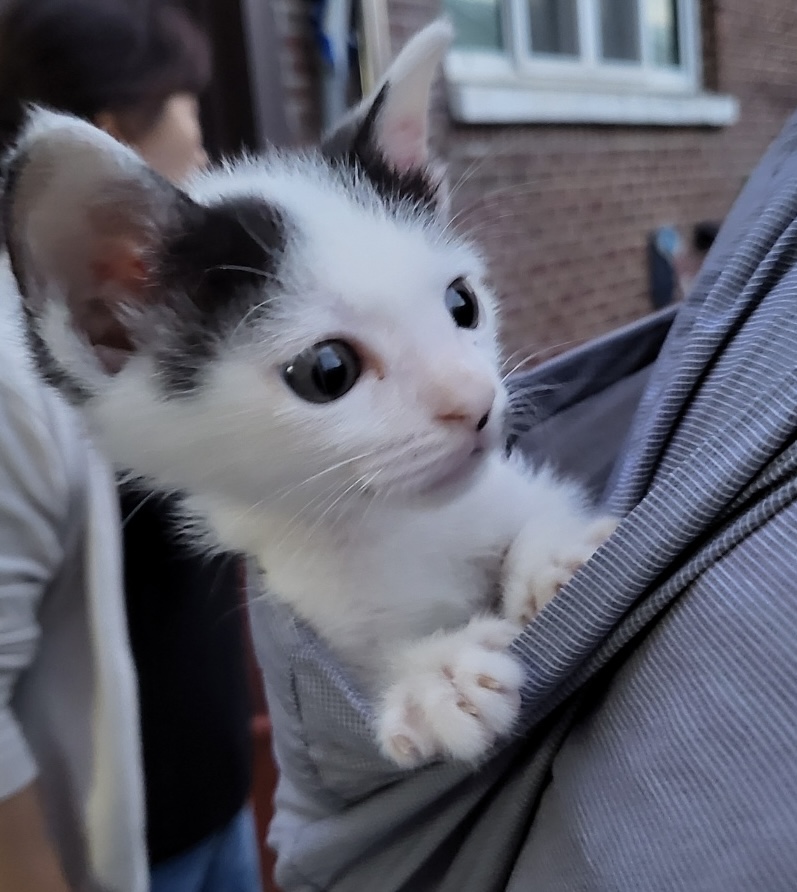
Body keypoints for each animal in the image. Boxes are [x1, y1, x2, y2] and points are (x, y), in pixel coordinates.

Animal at [0, 20, 616, 768]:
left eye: (461, 304)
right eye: (328, 371)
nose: (474, 402)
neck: (403, 528)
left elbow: (537, 513)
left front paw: (551, 556)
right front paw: (431, 678)